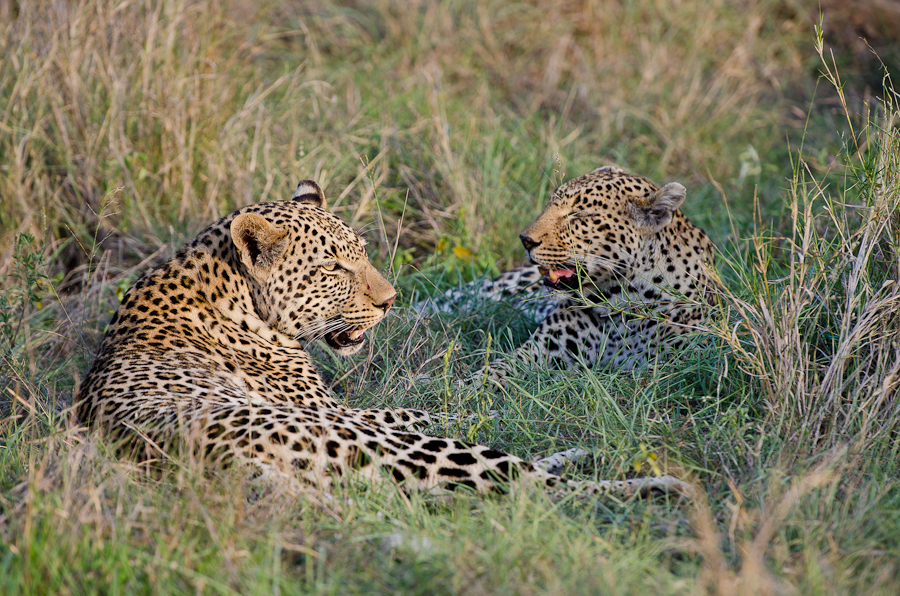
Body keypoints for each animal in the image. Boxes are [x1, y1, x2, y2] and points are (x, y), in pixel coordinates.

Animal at [76, 180, 691, 498]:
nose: (389, 301)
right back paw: (658, 485)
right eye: (331, 268)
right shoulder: (340, 413)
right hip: (400, 450)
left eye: (363, 253)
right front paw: (496, 400)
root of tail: (221, 468)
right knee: (532, 489)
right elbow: (422, 406)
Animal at [417, 166, 717, 385]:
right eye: (550, 205)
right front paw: (457, 391)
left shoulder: (664, 367)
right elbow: (493, 371)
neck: (617, 301)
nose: (525, 240)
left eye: (578, 215)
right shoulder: (537, 351)